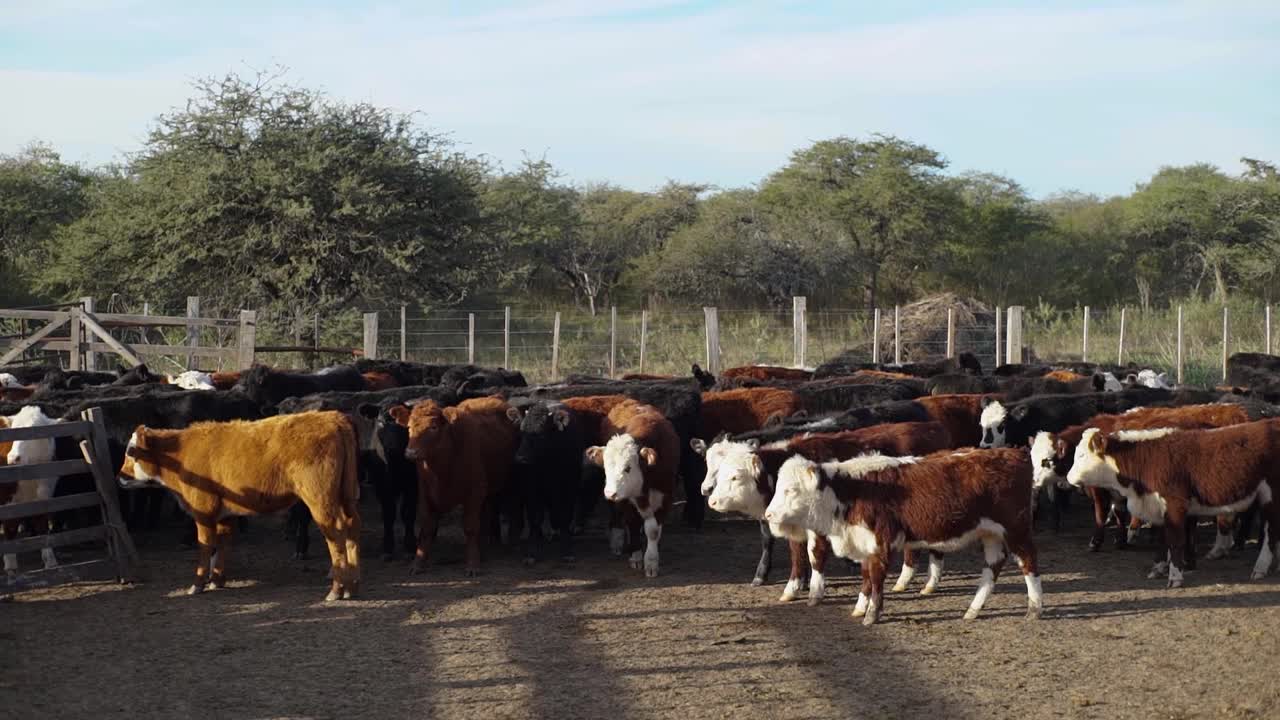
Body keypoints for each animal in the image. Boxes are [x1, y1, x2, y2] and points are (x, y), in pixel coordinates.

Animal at [118, 409, 363, 599]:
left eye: (131, 452)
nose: (119, 476)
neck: (181, 454)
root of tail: (334, 418)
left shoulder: (204, 513)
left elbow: (205, 546)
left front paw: (197, 584)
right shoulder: (225, 515)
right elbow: (223, 545)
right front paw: (217, 580)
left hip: (320, 500)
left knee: (335, 533)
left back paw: (337, 589)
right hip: (346, 495)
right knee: (351, 527)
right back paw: (352, 586)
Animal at [386, 394, 517, 573]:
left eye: (433, 427)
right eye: (409, 427)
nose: (411, 452)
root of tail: (494, 396)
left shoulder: (475, 491)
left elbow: (470, 527)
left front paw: (473, 564)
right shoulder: (425, 492)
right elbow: (426, 527)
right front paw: (417, 563)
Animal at [583, 394, 680, 573]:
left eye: (628, 468)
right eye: (606, 467)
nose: (610, 493)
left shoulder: (666, 496)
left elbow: (653, 530)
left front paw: (651, 559)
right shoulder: (626, 499)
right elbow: (633, 523)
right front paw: (636, 555)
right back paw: (617, 541)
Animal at [757, 448, 1039, 622]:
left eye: (791, 490)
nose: (768, 515)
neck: (854, 490)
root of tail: (1014, 453)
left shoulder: (880, 542)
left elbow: (876, 578)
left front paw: (872, 615)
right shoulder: (864, 544)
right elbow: (866, 578)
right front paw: (860, 609)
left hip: (1015, 529)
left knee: (1028, 562)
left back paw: (1034, 608)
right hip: (991, 534)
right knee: (993, 567)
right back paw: (972, 610)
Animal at [1064, 417, 1280, 586]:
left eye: (1081, 455)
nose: (1068, 477)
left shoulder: (1175, 505)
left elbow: (1175, 541)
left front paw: (1175, 577)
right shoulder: (1158, 506)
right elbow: (1163, 539)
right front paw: (1157, 568)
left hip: (1271, 496)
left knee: (1271, 533)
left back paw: (1260, 568)